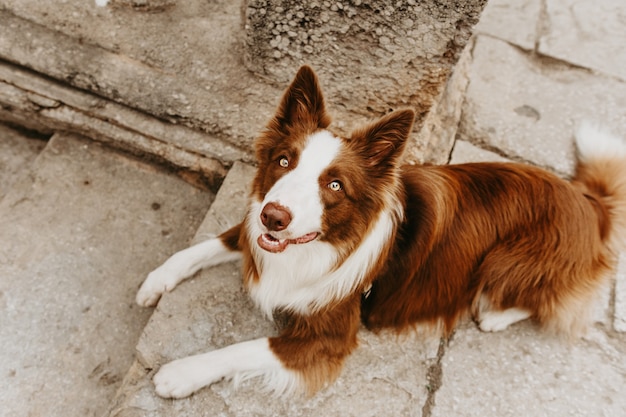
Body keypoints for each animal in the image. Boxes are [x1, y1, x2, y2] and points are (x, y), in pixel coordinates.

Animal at [135, 66, 624, 398]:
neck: (322, 246)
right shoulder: (255, 232)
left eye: (334, 185)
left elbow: (244, 348)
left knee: (552, 302)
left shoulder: (329, 336)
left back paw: (495, 315)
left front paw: (180, 372)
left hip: (506, 261)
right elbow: (202, 246)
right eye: (284, 161)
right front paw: (155, 281)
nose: (275, 218)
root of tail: (589, 204)